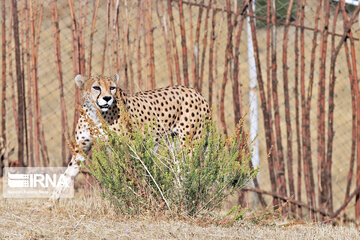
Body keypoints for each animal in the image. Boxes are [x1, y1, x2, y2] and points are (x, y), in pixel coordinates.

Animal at [49, 74, 210, 202]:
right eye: (96, 87)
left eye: (112, 88)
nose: (107, 98)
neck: (96, 113)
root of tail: (196, 92)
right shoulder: (80, 149)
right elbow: (66, 176)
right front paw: (51, 203)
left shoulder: (124, 147)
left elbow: (126, 174)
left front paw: (130, 197)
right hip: (174, 145)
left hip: (189, 145)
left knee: (189, 169)